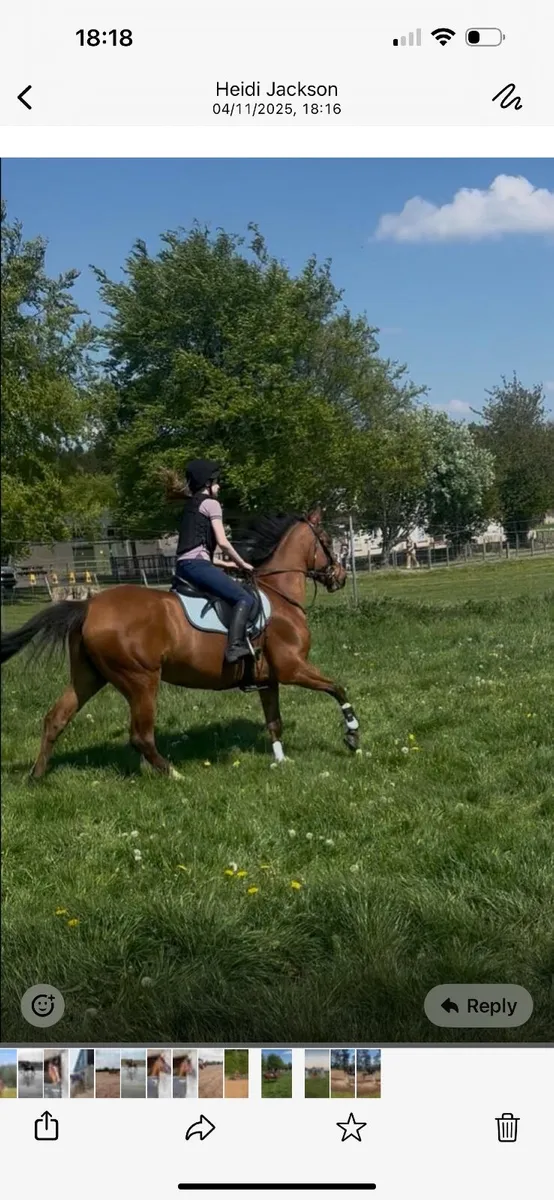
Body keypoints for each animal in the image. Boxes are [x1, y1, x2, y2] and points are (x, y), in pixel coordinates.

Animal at [1, 507, 361, 778]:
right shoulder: (292, 668)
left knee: (55, 719)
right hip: (141, 680)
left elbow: (275, 723)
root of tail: (88, 606)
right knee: (141, 735)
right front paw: (353, 734)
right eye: (327, 540)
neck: (279, 595)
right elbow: (338, 688)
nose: (340, 577)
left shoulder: (268, 678)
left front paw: (281, 760)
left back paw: (36, 776)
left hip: (89, 676)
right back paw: (173, 774)